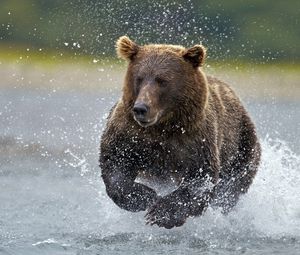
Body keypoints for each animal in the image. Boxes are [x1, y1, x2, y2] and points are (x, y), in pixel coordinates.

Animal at [99, 35, 260, 229]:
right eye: (139, 78)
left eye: (162, 80)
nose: (141, 108)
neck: (163, 126)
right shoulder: (129, 134)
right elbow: (115, 163)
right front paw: (144, 196)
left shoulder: (196, 140)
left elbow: (200, 179)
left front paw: (162, 214)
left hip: (242, 144)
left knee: (231, 188)